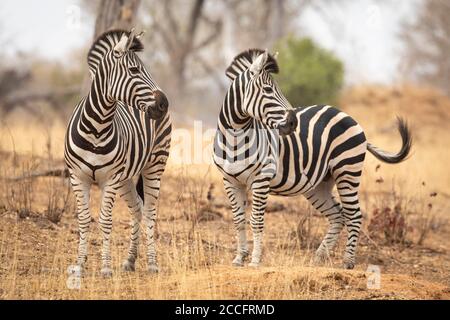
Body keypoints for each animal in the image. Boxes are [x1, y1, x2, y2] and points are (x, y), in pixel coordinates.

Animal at [65, 28, 172, 276]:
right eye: (134, 70)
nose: (164, 104)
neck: (96, 128)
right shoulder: (78, 177)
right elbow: (83, 219)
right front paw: (79, 265)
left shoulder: (110, 179)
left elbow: (105, 220)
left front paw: (105, 268)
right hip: (125, 178)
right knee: (138, 208)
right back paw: (130, 260)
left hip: (155, 165)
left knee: (150, 211)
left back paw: (152, 263)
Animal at [213, 48, 410, 268]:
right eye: (268, 90)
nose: (293, 122)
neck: (235, 138)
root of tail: (345, 114)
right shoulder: (230, 181)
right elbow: (238, 220)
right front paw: (239, 258)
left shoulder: (261, 179)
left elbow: (256, 220)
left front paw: (255, 261)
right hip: (319, 185)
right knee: (338, 216)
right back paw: (319, 256)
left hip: (347, 171)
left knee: (354, 215)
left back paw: (348, 261)